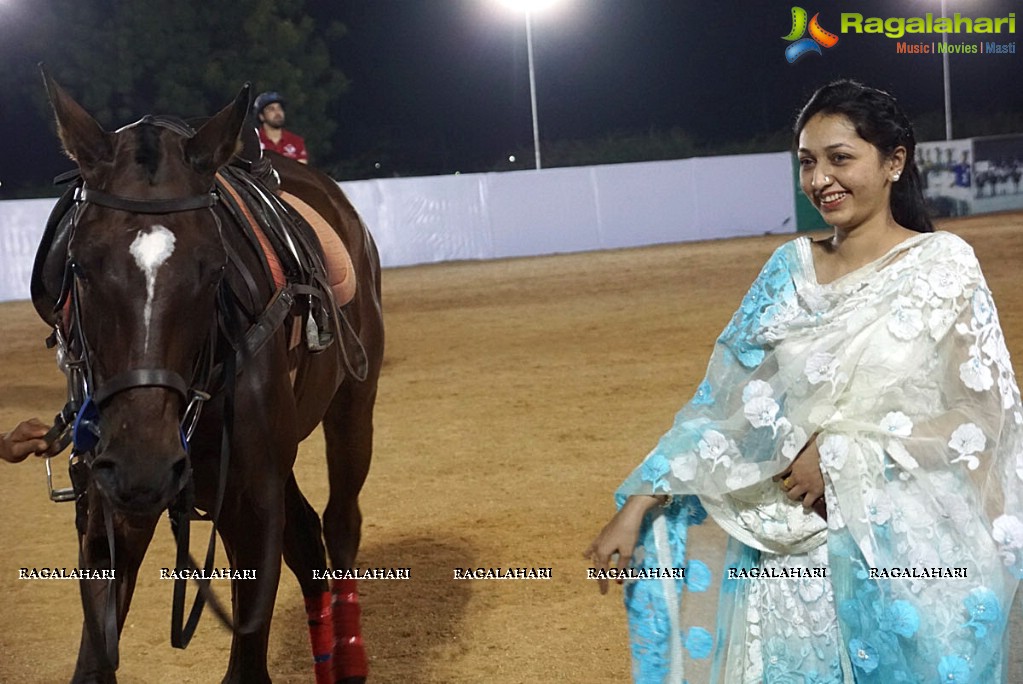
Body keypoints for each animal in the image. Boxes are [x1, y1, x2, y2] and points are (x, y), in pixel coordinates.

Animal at [38, 70, 384, 682]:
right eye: (79, 263)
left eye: (214, 265)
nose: (145, 461)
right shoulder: (110, 502)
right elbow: (95, 660)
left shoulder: (252, 501)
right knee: (307, 540)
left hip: (351, 409)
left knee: (340, 527)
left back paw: (348, 657)